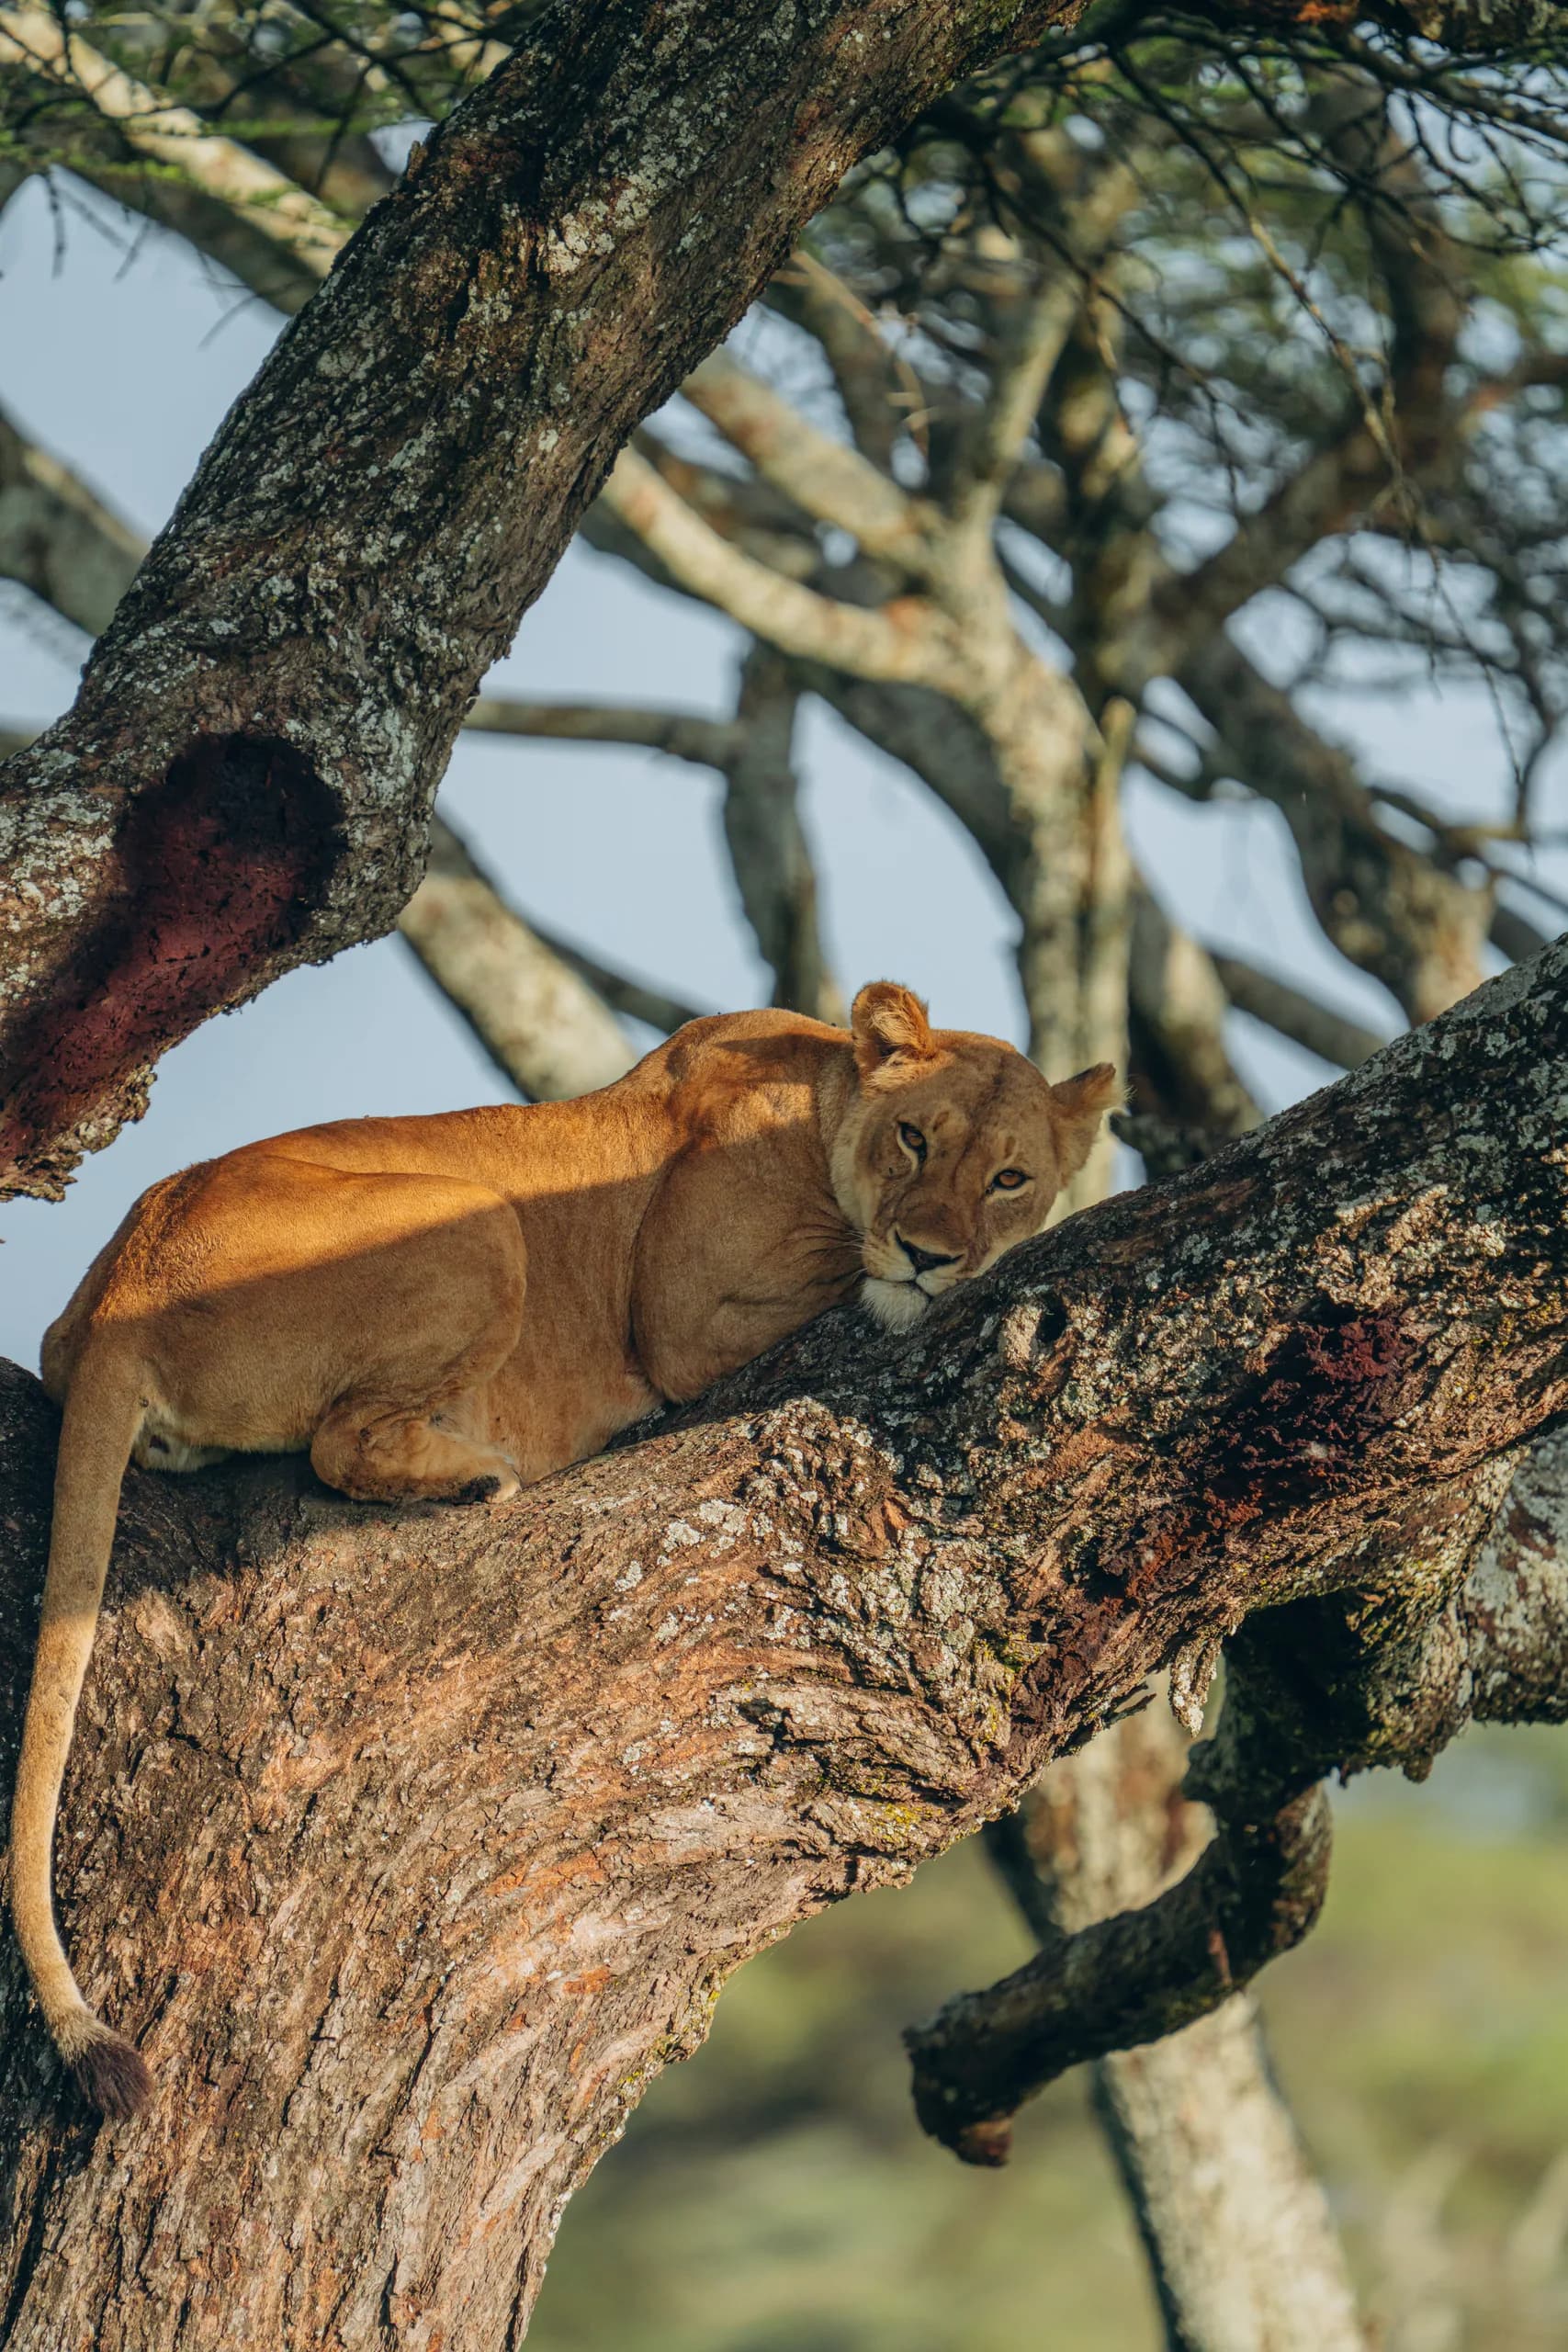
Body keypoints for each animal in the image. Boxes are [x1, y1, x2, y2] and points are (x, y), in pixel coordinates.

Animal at [9, 981, 1115, 2117]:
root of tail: (116, 1290)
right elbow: (838, 1282)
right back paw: (480, 1473)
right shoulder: (689, 1320)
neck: (823, 1096)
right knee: (339, 1440)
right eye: (914, 1138)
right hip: (483, 1226)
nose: (932, 1255)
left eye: (1010, 1177)